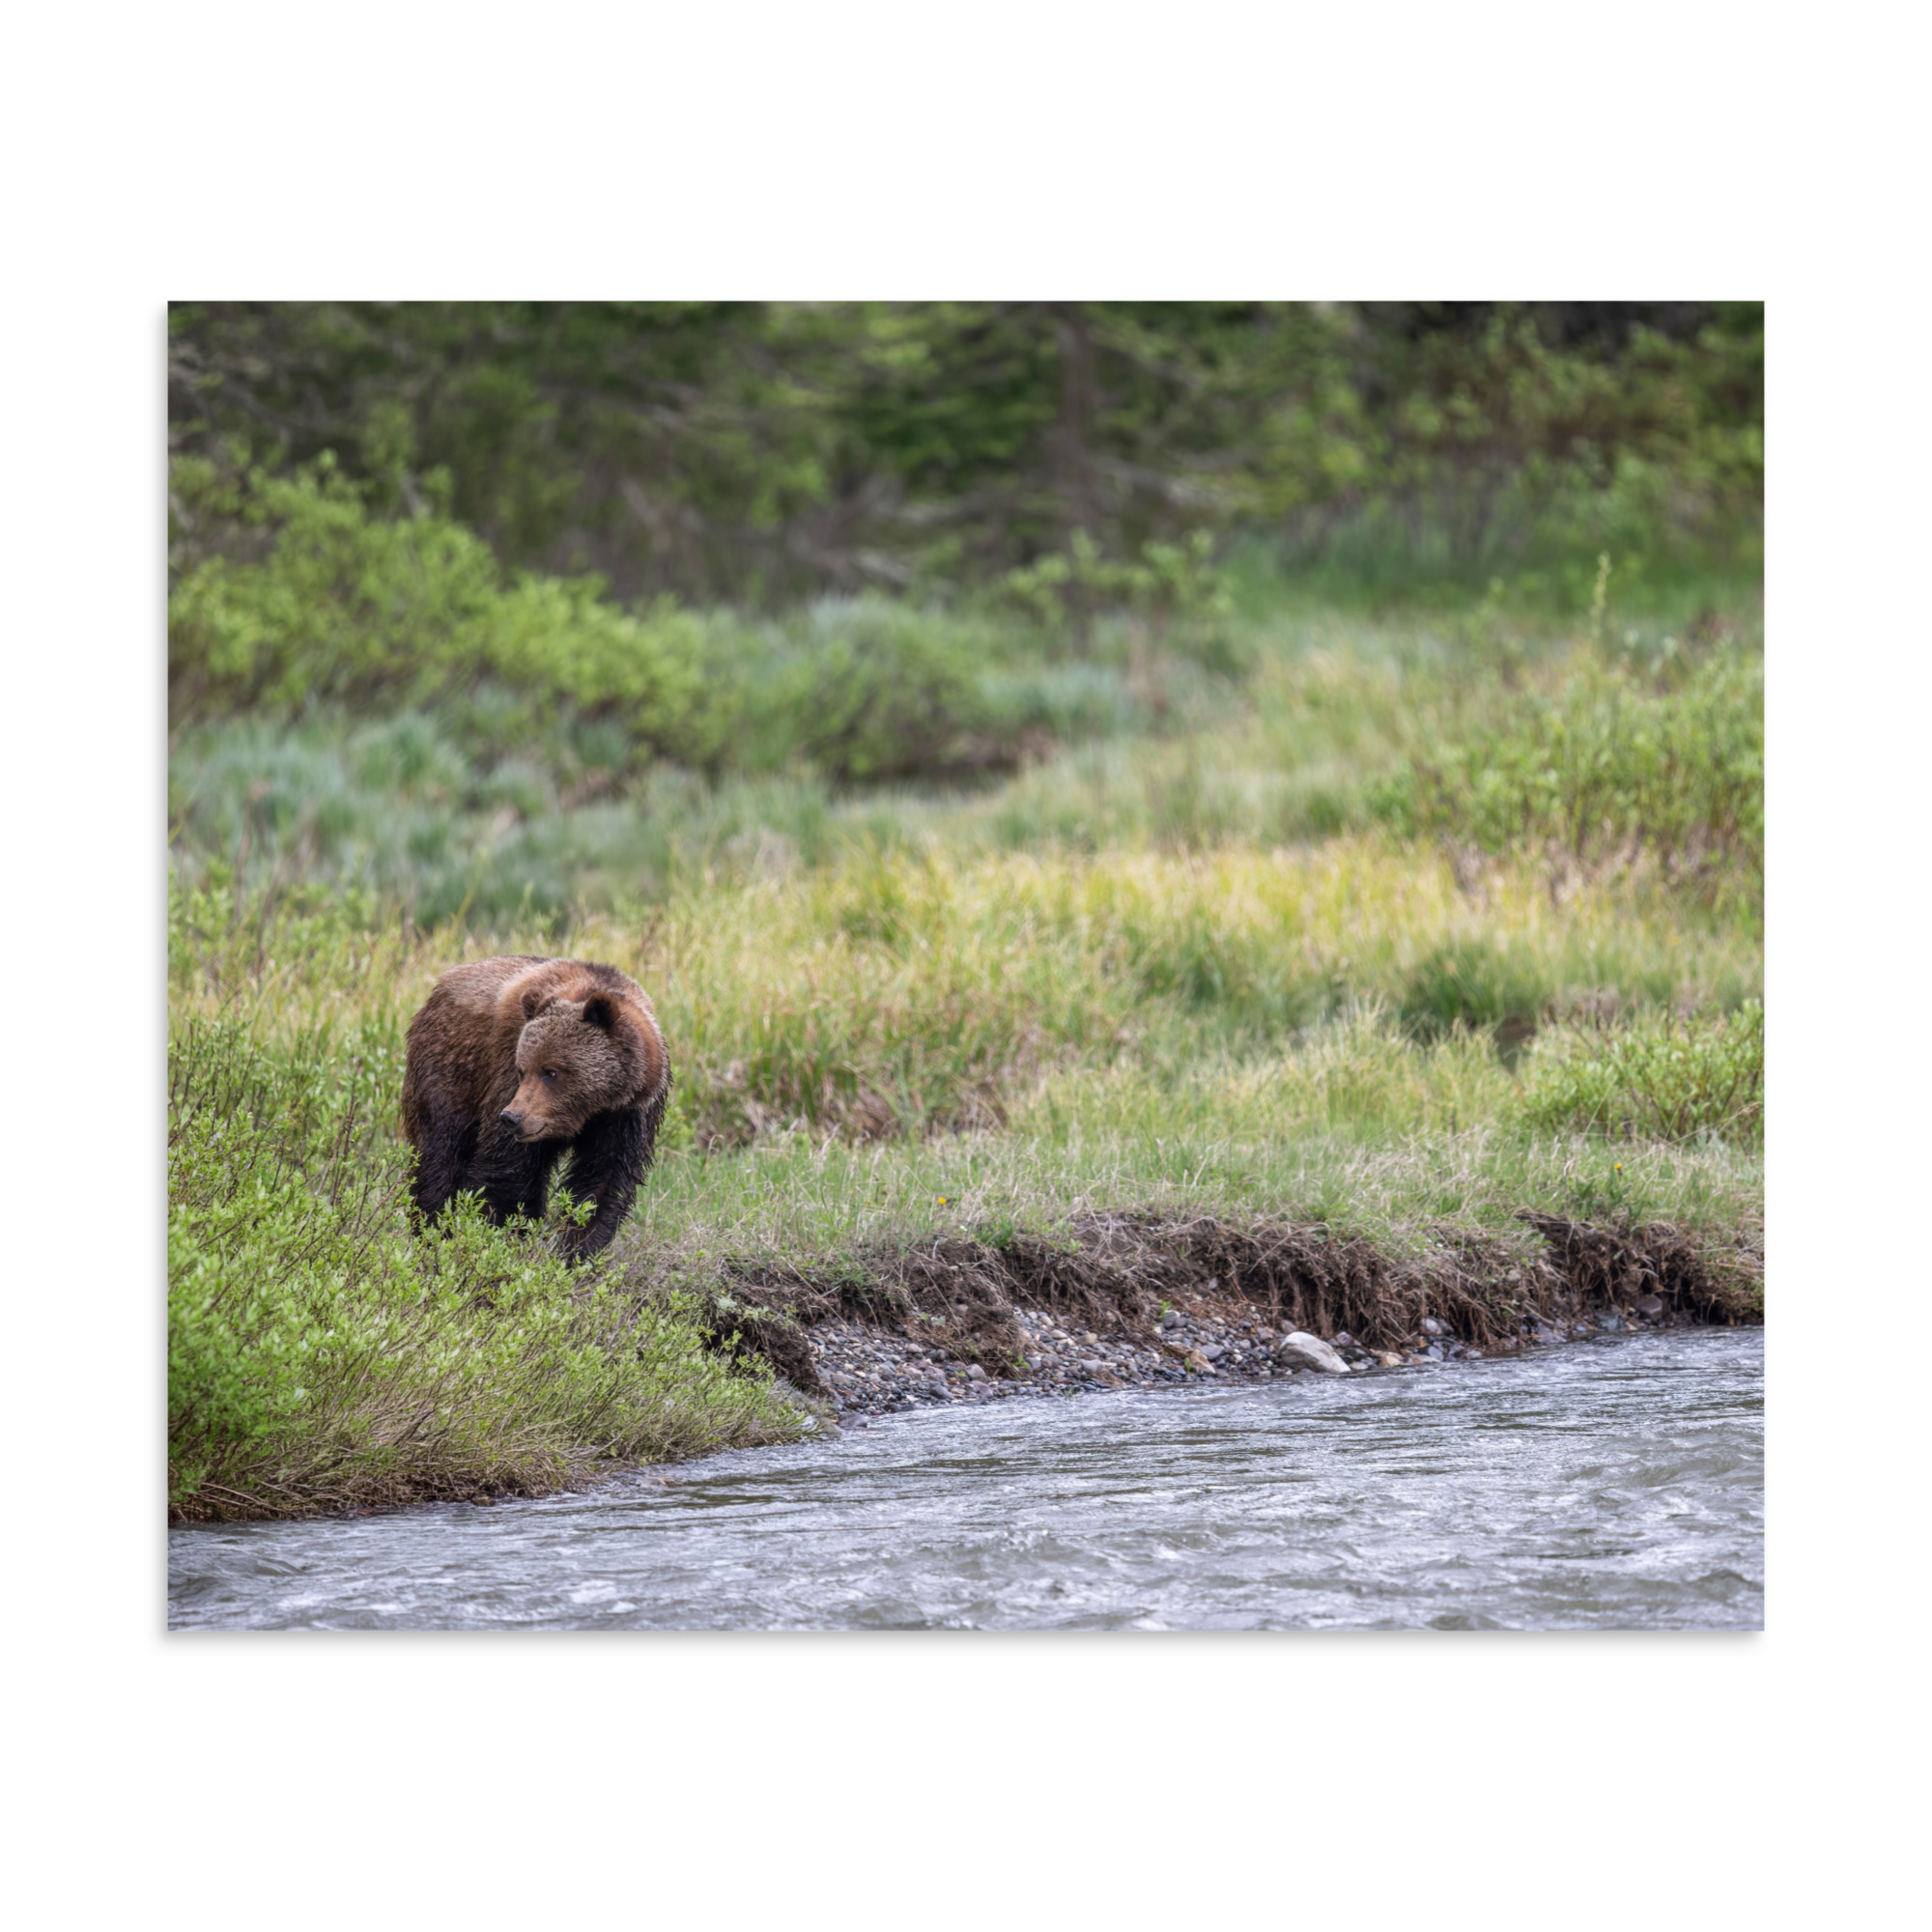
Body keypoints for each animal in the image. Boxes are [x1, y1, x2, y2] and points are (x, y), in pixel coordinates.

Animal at [400, 954, 671, 1262]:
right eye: (523, 1070)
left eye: (551, 1072)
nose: (512, 1117)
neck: (591, 1110)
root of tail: (441, 986)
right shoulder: (505, 1073)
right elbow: (509, 1171)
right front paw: (506, 1239)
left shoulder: (627, 1116)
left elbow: (602, 1182)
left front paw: (577, 1251)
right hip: (451, 1069)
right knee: (440, 1155)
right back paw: (432, 1233)